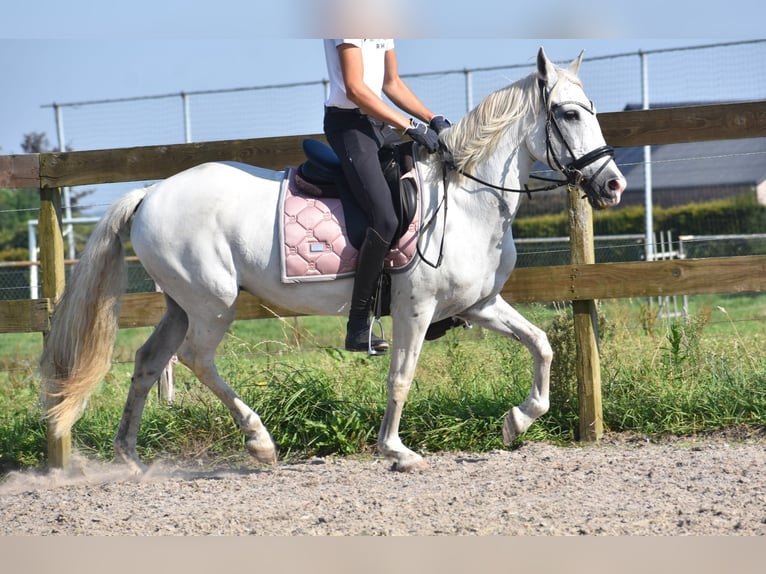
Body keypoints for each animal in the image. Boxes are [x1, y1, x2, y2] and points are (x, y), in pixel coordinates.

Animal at [42, 48, 624, 472]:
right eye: (569, 114)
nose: (613, 185)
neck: (464, 200)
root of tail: (151, 192)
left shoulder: (478, 304)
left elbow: (542, 344)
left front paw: (517, 422)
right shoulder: (415, 309)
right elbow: (401, 376)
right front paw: (397, 451)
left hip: (181, 304)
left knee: (148, 360)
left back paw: (130, 457)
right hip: (213, 303)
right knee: (195, 359)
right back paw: (259, 442)